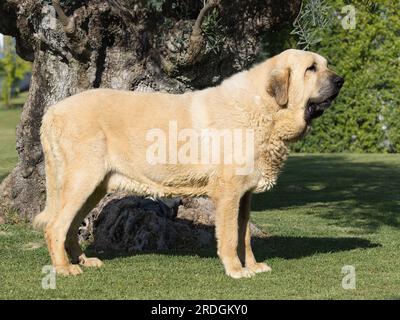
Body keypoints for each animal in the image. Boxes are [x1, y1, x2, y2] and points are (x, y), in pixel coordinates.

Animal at [33, 48, 344, 278]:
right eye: (311, 69)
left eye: (325, 66)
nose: (340, 80)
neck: (264, 108)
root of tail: (51, 112)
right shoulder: (228, 193)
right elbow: (229, 236)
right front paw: (236, 270)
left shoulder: (244, 195)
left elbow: (244, 235)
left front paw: (253, 266)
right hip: (81, 181)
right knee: (55, 227)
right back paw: (64, 269)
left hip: (93, 187)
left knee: (69, 227)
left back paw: (83, 261)